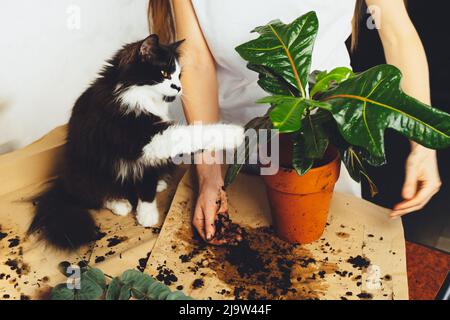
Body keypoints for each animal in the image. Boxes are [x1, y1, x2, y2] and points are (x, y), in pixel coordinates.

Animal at [28, 35, 244, 250]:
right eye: (165, 73)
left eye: (179, 76)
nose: (179, 87)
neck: (134, 95)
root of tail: (62, 184)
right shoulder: (144, 140)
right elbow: (192, 133)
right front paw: (235, 133)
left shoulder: (147, 157)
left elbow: (146, 188)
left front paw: (146, 213)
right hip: (87, 172)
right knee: (96, 195)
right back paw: (120, 204)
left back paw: (159, 184)